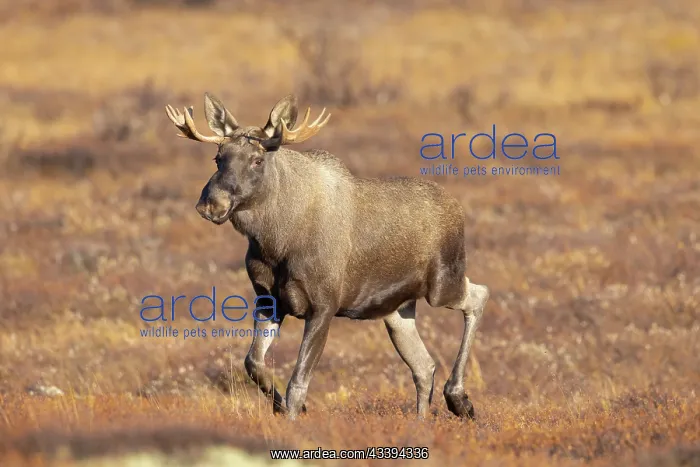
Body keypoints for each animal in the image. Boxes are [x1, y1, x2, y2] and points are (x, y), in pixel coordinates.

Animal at [165, 93, 490, 420]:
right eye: (218, 158)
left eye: (257, 160)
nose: (210, 204)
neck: (274, 241)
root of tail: (457, 208)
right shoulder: (268, 301)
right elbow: (253, 363)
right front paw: (281, 407)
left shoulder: (323, 305)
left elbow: (298, 382)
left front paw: (294, 415)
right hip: (397, 309)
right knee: (424, 366)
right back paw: (423, 421)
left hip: (442, 284)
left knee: (479, 295)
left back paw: (459, 399)